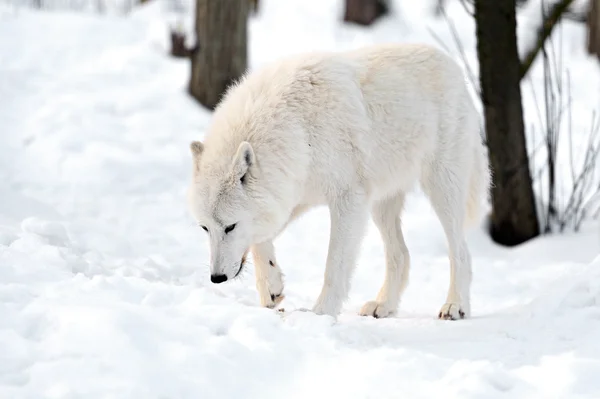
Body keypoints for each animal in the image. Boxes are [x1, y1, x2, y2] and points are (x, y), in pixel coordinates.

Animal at [189, 42, 492, 320]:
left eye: (230, 227)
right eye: (205, 228)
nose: (217, 278)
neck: (296, 127)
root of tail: (455, 68)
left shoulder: (348, 198)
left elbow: (335, 263)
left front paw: (321, 313)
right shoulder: (293, 194)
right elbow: (260, 238)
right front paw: (271, 288)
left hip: (442, 188)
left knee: (460, 251)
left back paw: (455, 306)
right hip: (381, 204)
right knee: (401, 255)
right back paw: (384, 305)